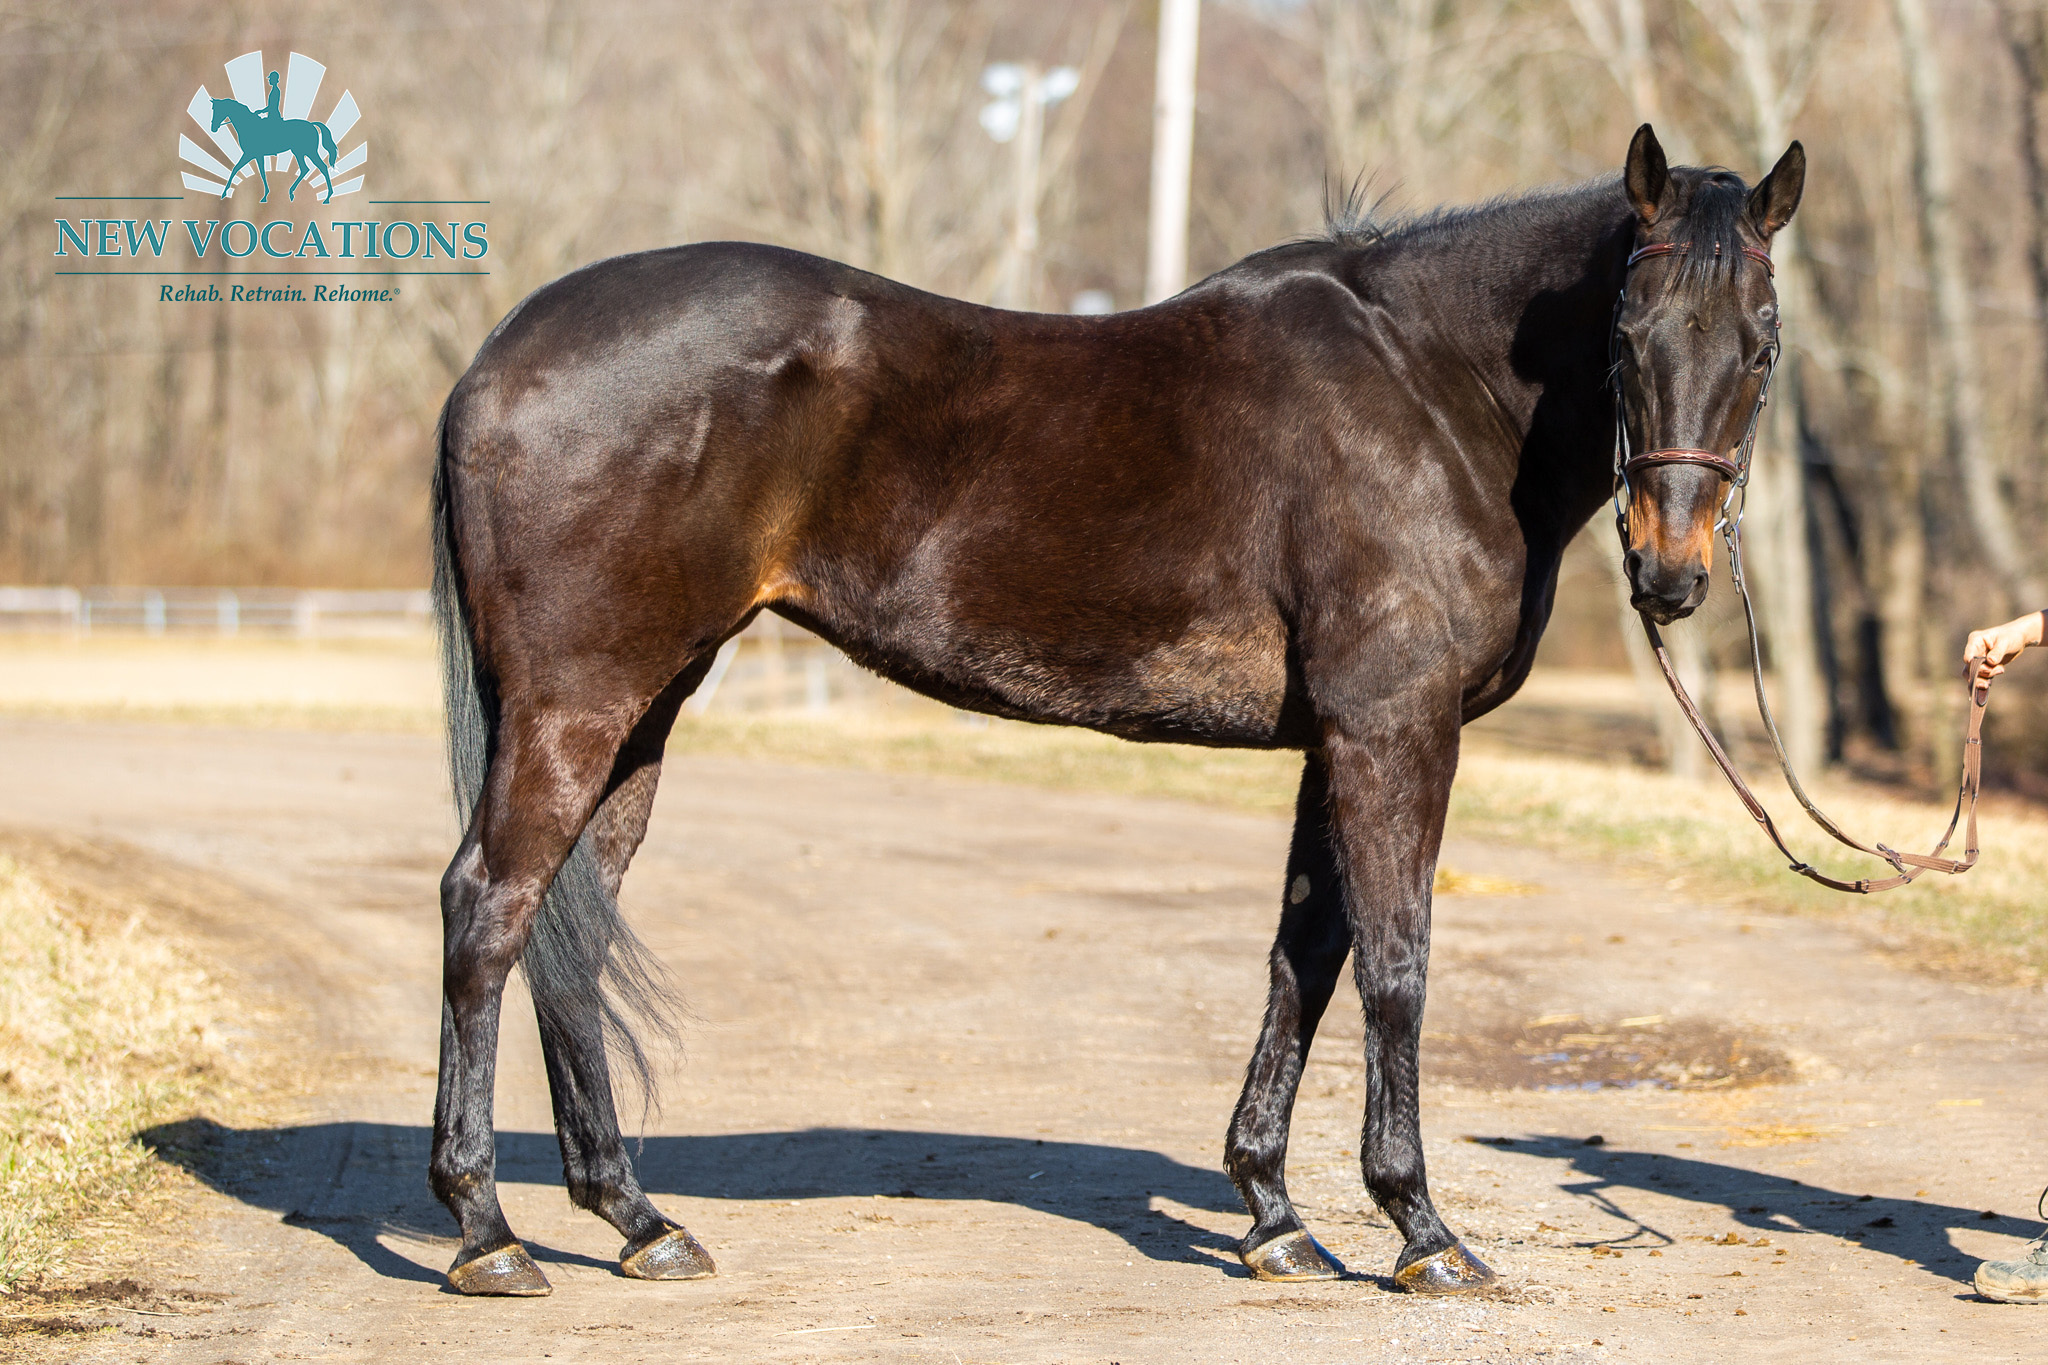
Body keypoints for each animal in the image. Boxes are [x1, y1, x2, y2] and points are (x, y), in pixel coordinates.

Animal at [423, 127, 1802, 1301]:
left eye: (1760, 342)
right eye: (1626, 334)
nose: (1670, 572)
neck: (1425, 387)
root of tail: (497, 358)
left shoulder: (1332, 745)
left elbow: (1305, 958)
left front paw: (1274, 1218)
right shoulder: (1393, 729)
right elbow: (1395, 964)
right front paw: (1420, 1230)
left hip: (643, 707)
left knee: (571, 926)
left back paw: (636, 1221)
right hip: (577, 701)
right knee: (488, 908)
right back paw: (486, 1233)